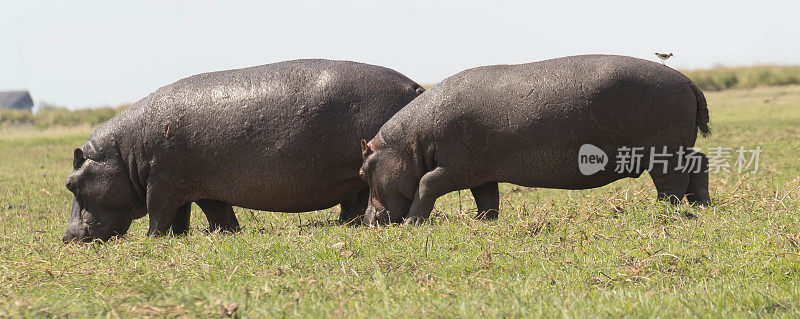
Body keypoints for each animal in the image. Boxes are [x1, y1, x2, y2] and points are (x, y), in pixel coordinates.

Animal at [64, 59, 424, 242]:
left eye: (70, 184)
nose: (68, 237)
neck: (123, 154)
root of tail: (416, 86)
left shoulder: (161, 183)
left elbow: (159, 215)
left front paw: (153, 240)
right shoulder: (193, 184)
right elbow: (206, 213)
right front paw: (215, 234)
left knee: (359, 198)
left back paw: (350, 225)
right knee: (354, 201)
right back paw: (346, 225)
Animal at [360, 55, 708, 225]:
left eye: (363, 172)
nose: (366, 220)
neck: (410, 143)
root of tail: (688, 80)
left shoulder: (454, 168)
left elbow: (426, 184)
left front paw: (411, 224)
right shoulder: (479, 171)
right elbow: (487, 197)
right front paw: (485, 222)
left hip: (664, 152)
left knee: (672, 181)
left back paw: (664, 210)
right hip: (680, 147)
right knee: (699, 164)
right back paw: (700, 205)